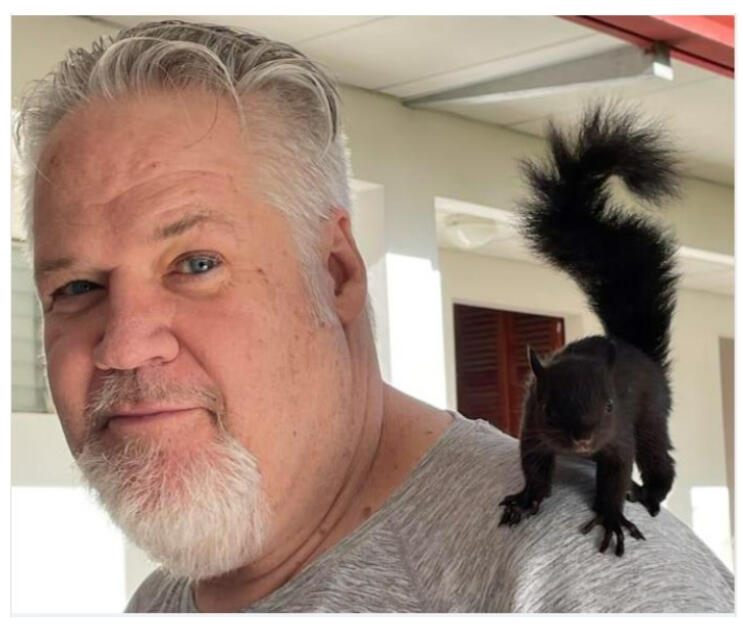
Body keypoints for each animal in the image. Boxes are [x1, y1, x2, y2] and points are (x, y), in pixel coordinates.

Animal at [498, 104, 680, 557]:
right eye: (548, 407)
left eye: (611, 405)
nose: (581, 439)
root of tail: (641, 353)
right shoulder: (532, 428)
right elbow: (534, 466)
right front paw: (526, 498)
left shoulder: (619, 436)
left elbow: (615, 476)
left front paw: (613, 517)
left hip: (652, 416)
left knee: (660, 461)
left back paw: (647, 493)